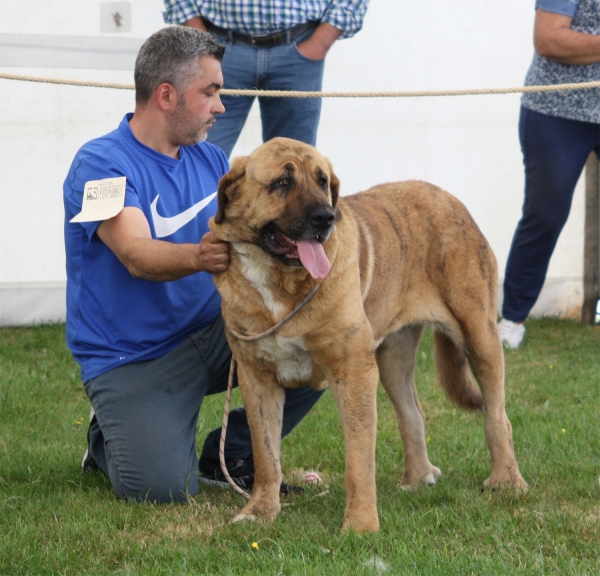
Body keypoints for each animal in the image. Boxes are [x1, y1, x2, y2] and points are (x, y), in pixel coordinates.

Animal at [210, 138, 524, 532]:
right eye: (283, 182)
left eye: (323, 182)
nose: (326, 218)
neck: (278, 282)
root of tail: (449, 197)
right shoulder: (258, 380)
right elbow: (266, 453)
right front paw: (261, 511)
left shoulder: (354, 372)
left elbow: (358, 459)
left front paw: (360, 525)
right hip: (392, 358)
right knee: (412, 414)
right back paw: (417, 477)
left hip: (478, 336)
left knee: (497, 415)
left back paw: (506, 480)